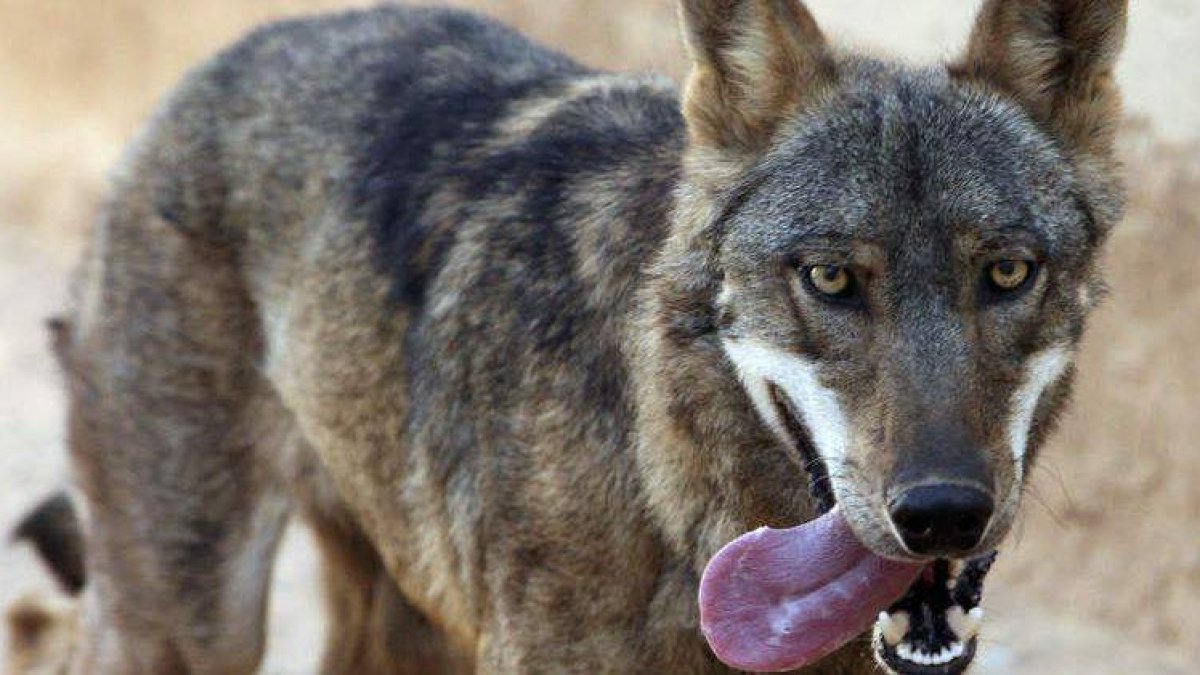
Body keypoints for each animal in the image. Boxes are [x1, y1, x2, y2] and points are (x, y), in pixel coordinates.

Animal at [10, 0, 1127, 673]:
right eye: (832, 279)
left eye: (1008, 273)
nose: (941, 513)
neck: (673, 492)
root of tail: (229, 55)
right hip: (187, 624)